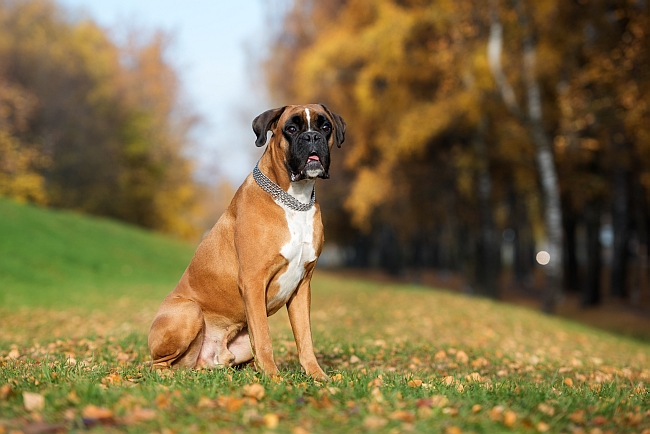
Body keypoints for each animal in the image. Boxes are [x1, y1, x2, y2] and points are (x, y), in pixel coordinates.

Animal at [148, 102, 344, 380]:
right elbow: (263, 337)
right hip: (188, 311)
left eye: (325, 127)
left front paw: (317, 376)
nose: (312, 137)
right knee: (158, 365)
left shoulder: (302, 286)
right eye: (291, 129)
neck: (294, 200)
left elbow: (305, 338)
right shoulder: (253, 281)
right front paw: (273, 377)